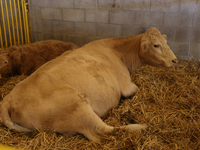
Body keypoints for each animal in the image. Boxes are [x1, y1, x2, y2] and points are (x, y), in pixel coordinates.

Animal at [0, 28, 178, 143]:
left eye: (166, 42)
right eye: (156, 45)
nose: (175, 60)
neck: (118, 53)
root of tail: (7, 100)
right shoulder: (126, 85)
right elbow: (136, 89)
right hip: (77, 108)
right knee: (101, 132)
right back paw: (141, 127)